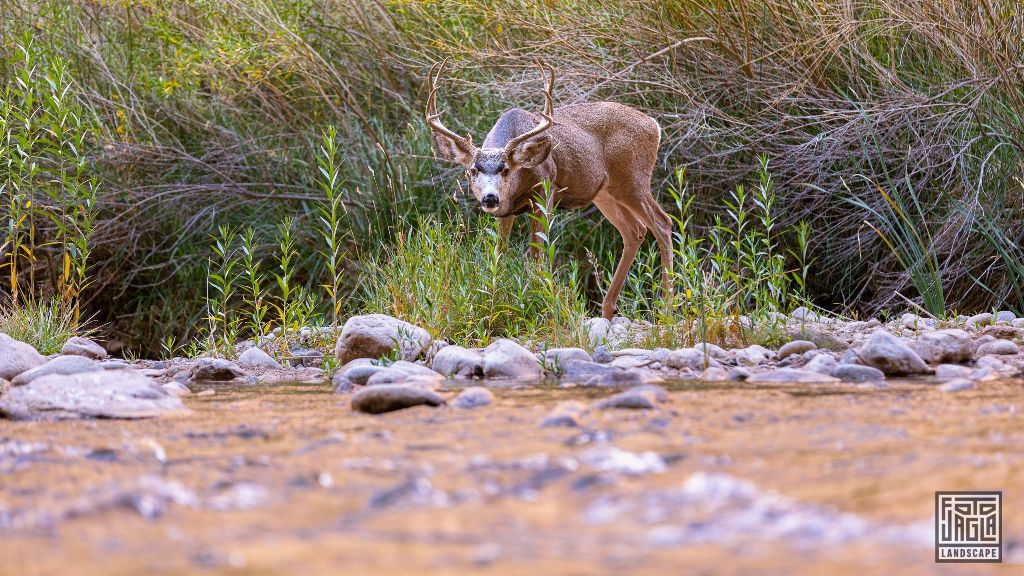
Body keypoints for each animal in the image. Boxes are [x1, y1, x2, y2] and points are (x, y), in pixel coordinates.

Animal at [425, 60, 673, 320]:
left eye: (506, 169)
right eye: (473, 170)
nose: (490, 198)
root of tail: (655, 126)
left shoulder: (546, 192)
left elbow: (538, 253)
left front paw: (538, 299)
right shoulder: (507, 210)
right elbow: (500, 250)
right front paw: (496, 295)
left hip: (633, 180)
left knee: (662, 223)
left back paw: (667, 307)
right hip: (605, 193)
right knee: (635, 230)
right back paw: (607, 311)